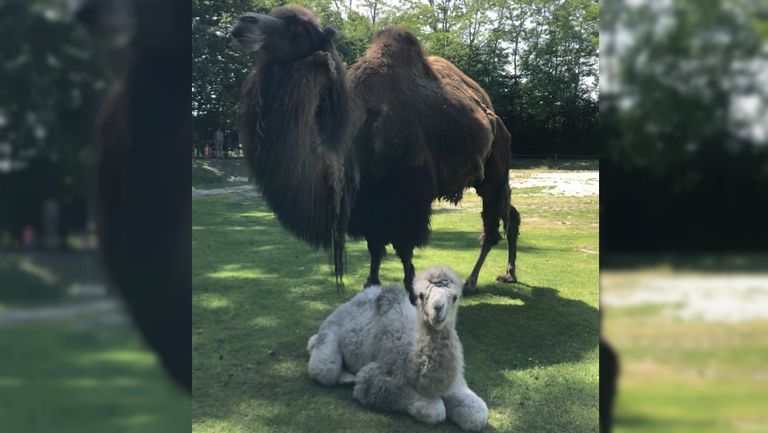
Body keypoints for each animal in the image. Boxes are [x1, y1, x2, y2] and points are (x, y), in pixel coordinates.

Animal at [231, 6, 520, 304]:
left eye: (298, 28)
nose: (243, 22)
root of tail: (494, 116)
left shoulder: (408, 199)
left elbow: (404, 250)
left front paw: (411, 292)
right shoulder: (368, 202)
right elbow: (375, 248)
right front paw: (370, 285)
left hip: (495, 170)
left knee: (494, 225)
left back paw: (473, 281)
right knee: (511, 215)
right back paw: (508, 274)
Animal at [306, 264, 486, 430]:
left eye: (455, 297)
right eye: (421, 296)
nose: (437, 309)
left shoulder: (456, 382)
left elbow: (477, 414)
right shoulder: (375, 375)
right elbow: (435, 410)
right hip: (330, 331)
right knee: (325, 369)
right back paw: (346, 378)